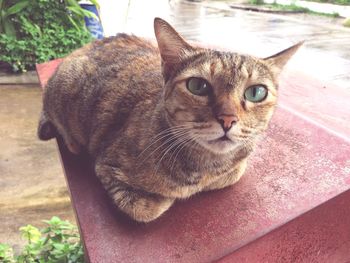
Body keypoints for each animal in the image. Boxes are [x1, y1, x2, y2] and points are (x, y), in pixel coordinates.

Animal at [37, 17, 300, 223]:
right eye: (197, 86)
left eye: (256, 92)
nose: (228, 119)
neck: (204, 167)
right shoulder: (106, 165)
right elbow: (150, 207)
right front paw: (168, 197)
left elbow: (234, 172)